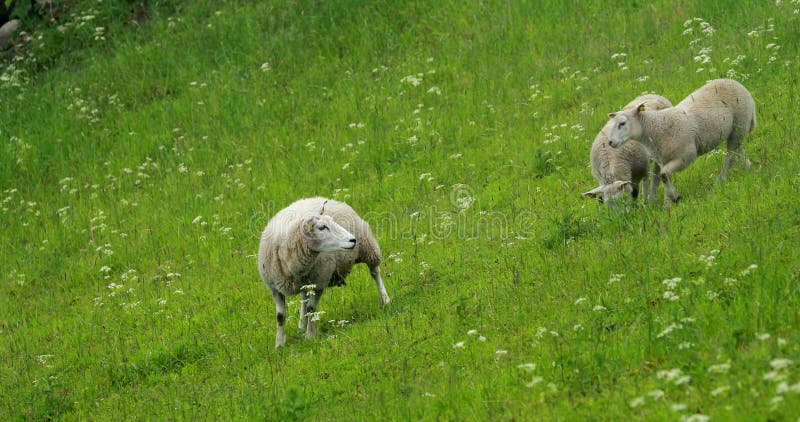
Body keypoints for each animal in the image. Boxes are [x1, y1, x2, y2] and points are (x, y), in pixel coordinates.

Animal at [258, 196, 390, 348]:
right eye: (322, 227)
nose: (353, 240)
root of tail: (321, 197)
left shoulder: (320, 281)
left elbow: (311, 308)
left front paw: (310, 336)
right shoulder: (274, 288)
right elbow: (280, 316)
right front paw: (279, 344)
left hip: (367, 246)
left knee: (375, 272)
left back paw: (385, 299)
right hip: (305, 282)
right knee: (303, 297)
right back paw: (301, 325)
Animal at [608, 79, 756, 206]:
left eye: (622, 123)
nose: (610, 142)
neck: (655, 128)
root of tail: (735, 82)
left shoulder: (686, 156)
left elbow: (664, 175)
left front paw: (674, 197)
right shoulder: (661, 160)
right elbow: (660, 179)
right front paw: (667, 202)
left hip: (739, 123)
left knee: (730, 155)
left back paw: (721, 179)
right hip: (737, 130)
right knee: (738, 148)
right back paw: (748, 167)